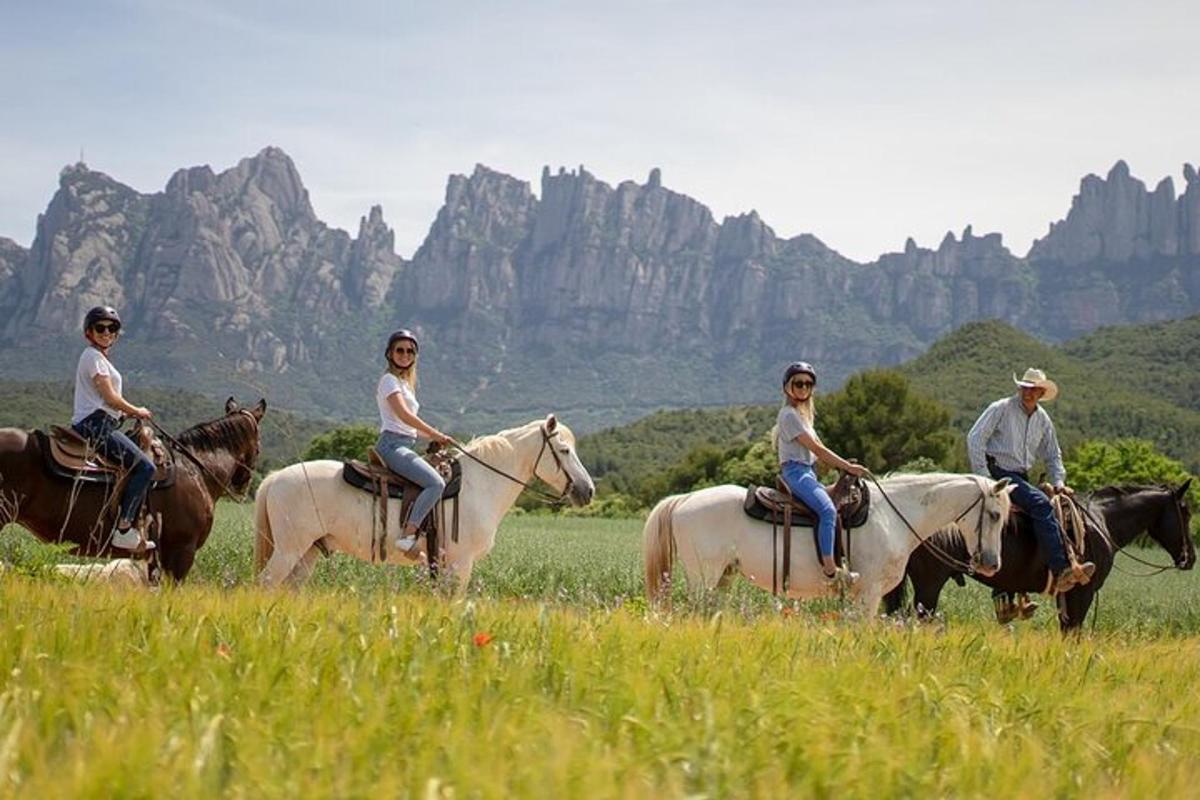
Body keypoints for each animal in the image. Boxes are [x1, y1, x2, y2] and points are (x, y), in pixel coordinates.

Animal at [255, 417, 592, 592]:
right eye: (564, 450)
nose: (587, 491)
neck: (479, 485)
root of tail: (274, 478)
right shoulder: (460, 564)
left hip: (307, 553)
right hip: (288, 550)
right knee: (265, 585)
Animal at [643, 474, 1017, 618]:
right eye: (995, 514)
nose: (992, 564)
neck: (893, 514)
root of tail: (684, 499)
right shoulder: (869, 592)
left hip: (723, 578)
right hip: (703, 577)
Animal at [878, 482, 1195, 633]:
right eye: (1186, 511)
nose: (1190, 558)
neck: (1102, 521)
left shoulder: (1068, 595)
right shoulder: (1083, 592)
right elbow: (1074, 633)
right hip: (929, 584)